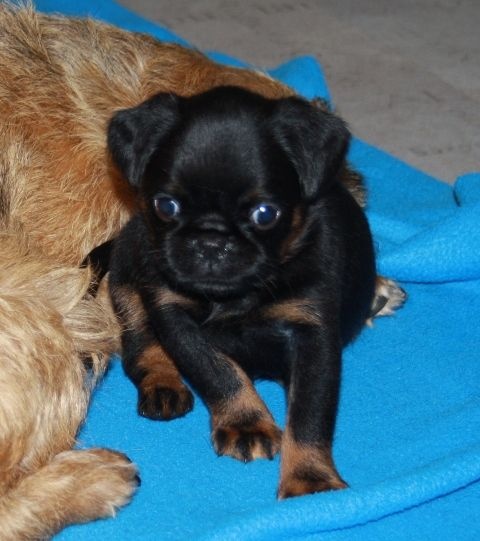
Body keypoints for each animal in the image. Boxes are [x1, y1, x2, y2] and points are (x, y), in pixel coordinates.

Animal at [107, 85, 376, 498]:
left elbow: (310, 411)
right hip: (126, 262)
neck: (237, 295)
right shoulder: (173, 316)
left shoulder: (313, 336)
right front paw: (246, 423)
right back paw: (162, 383)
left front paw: (309, 480)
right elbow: (217, 370)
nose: (211, 242)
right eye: (165, 206)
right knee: (139, 344)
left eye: (265, 214)